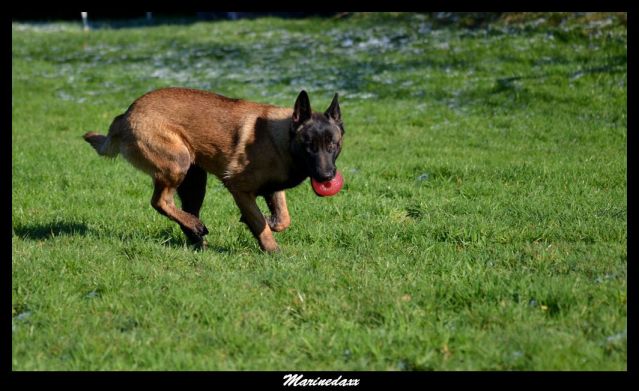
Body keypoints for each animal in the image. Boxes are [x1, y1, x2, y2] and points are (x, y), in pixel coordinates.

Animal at [86, 88, 344, 254]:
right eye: (309, 147)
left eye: (332, 146)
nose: (327, 177)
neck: (284, 138)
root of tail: (125, 115)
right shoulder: (239, 188)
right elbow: (259, 222)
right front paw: (272, 250)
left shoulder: (273, 189)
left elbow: (283, 218)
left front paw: (268, 223)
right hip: (178, 163)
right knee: (160, 201)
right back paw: (196, 228)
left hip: (194, 181)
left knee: (179, 208)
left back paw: (196, 236)